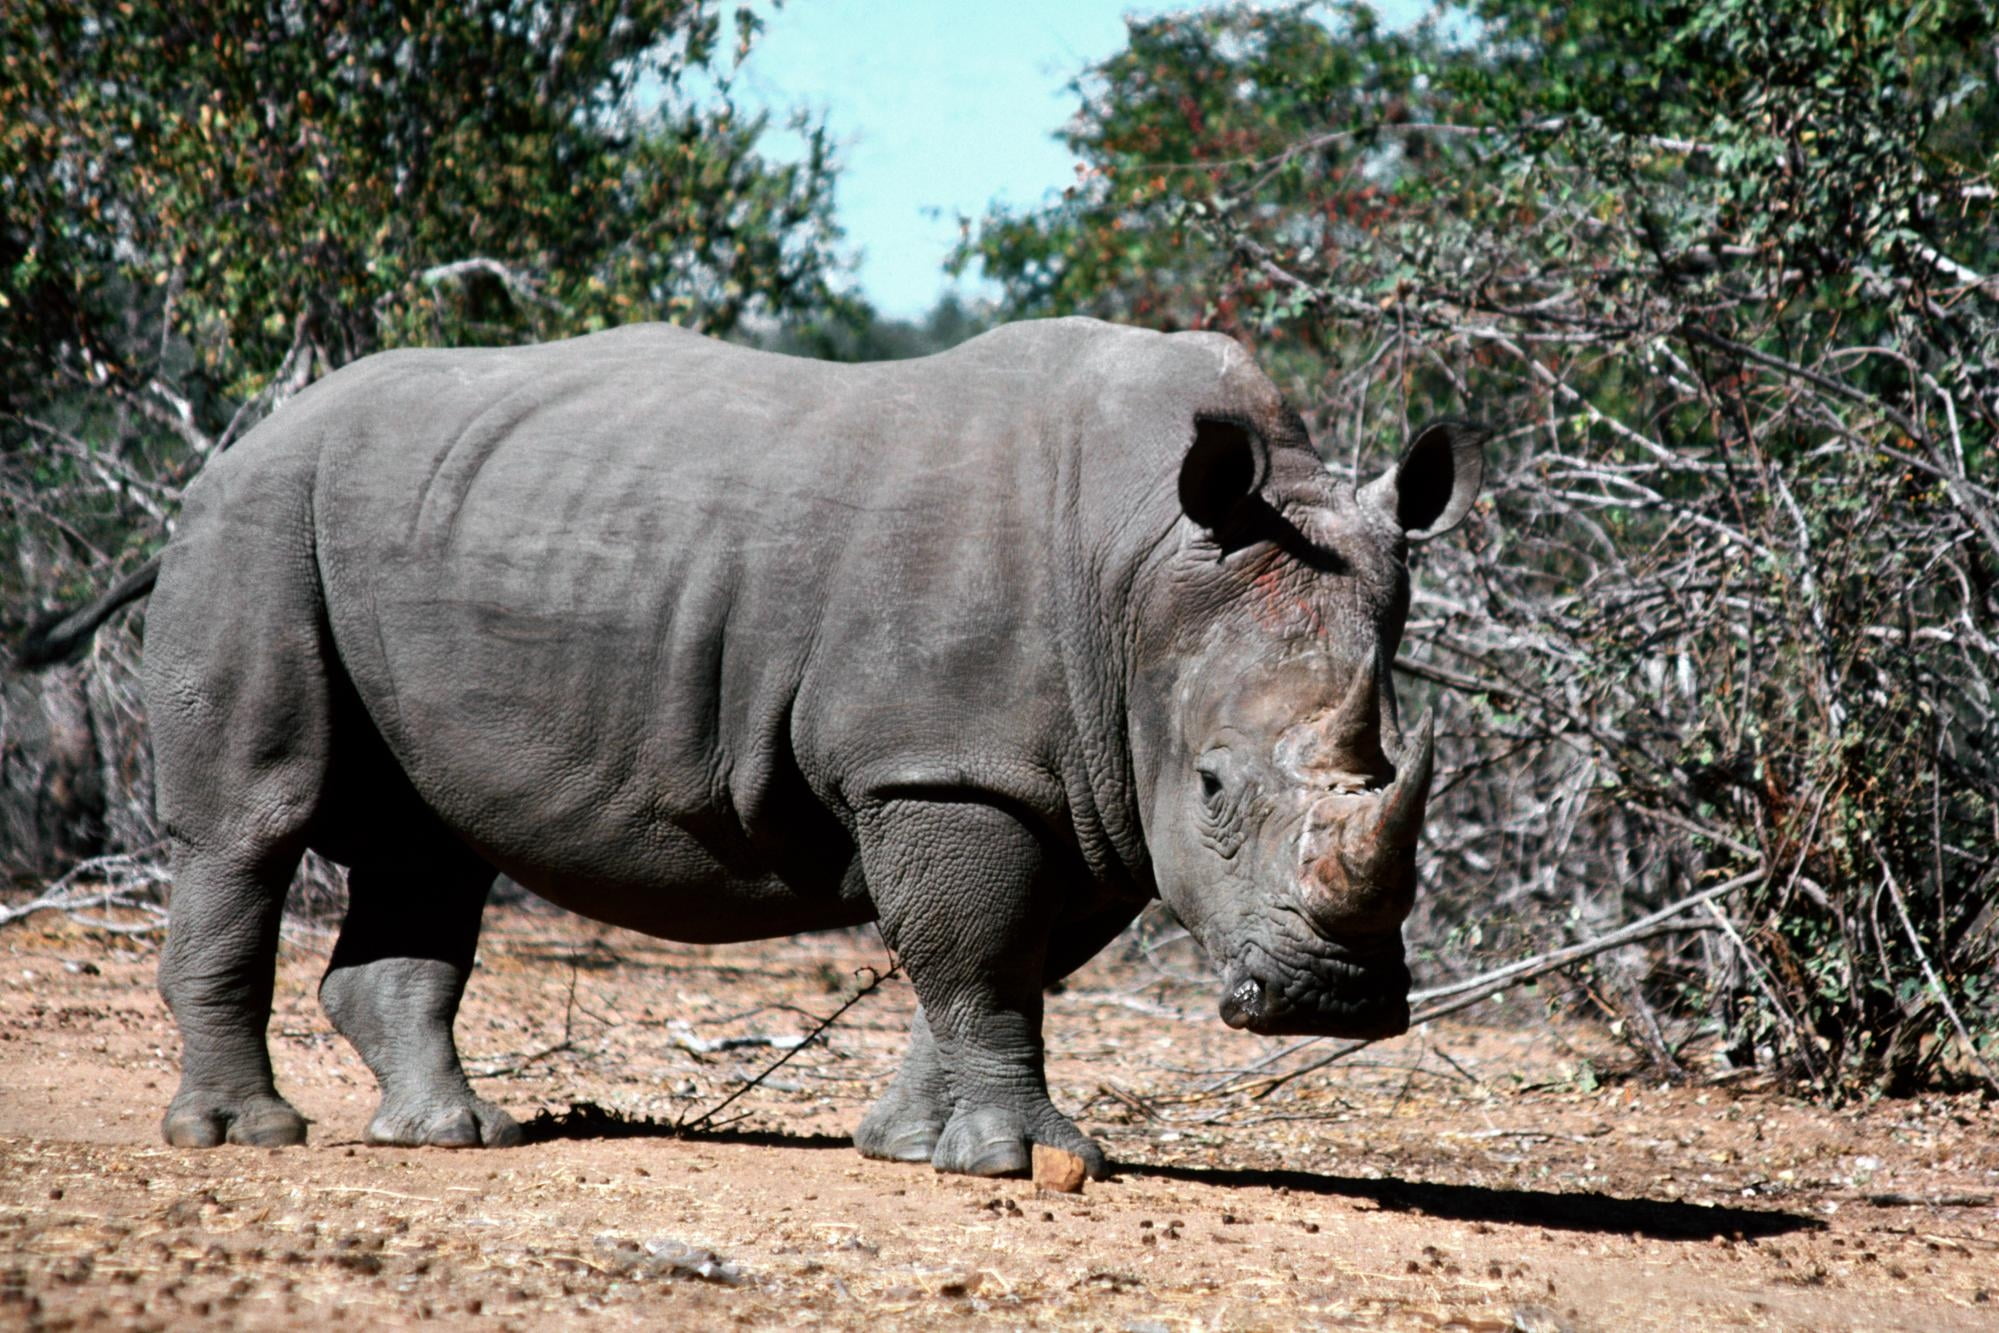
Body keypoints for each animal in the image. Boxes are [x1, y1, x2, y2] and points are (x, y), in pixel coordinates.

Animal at [17, 318, 1484, 1178]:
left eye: (1391, 768)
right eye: (1217, 786)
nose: (1333, 1005)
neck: (1146, 565)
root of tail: (232, 453)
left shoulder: (1074, 781)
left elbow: (998, 962)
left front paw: (905, 1146)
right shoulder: (944, 762)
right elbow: (981, 954)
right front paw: (1015, 1163)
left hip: (409, 526)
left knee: (429, 844)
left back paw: (450, 1136)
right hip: (259, 522)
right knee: (253, 825)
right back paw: (243, 1138)